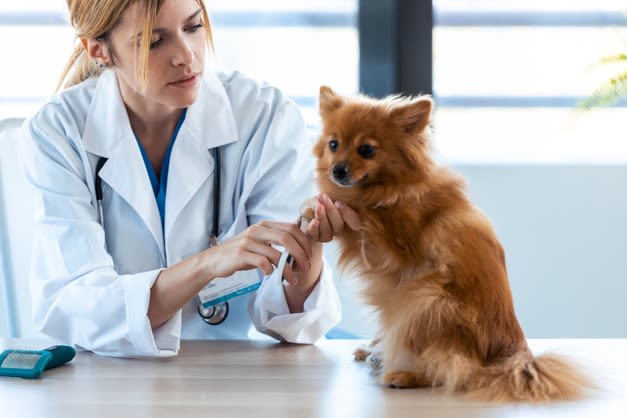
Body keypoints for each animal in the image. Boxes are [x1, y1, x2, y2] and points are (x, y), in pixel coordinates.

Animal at [310, 85, 592, 402]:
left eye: (367, 150)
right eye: (333, 144)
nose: (338, 170)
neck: (392, 187)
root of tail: (514, 353)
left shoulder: (393, 251)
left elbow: (364, 215)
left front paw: (336, 207)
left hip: (424, 298)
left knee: (456, 367)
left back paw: (405, 374)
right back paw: (376, 353)